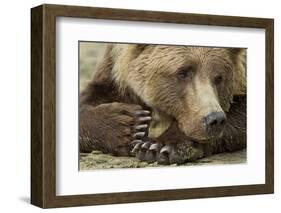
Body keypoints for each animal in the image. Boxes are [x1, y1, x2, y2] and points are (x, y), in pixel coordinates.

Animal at [79, 44, 245, 165]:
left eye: (219, 77)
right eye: (182, 72)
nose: (214, 119)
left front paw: (158, 147)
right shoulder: (114, 70)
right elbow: (92, 97)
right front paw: (129, 124)